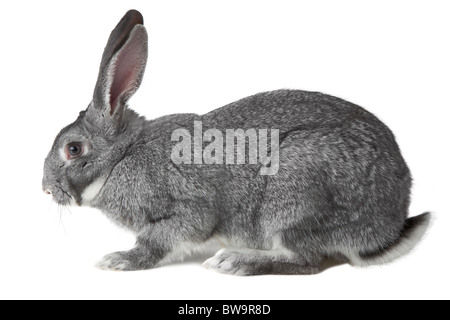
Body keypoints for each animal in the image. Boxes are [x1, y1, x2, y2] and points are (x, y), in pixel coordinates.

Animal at [43, 10, 432, 276]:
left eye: (73, 149)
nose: (46, 189)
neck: (121, 157)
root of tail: (389, 225)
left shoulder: (188, 209)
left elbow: (160, 239)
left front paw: (119, 260)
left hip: (295, 195)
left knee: (306, 260)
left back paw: (235, 261)